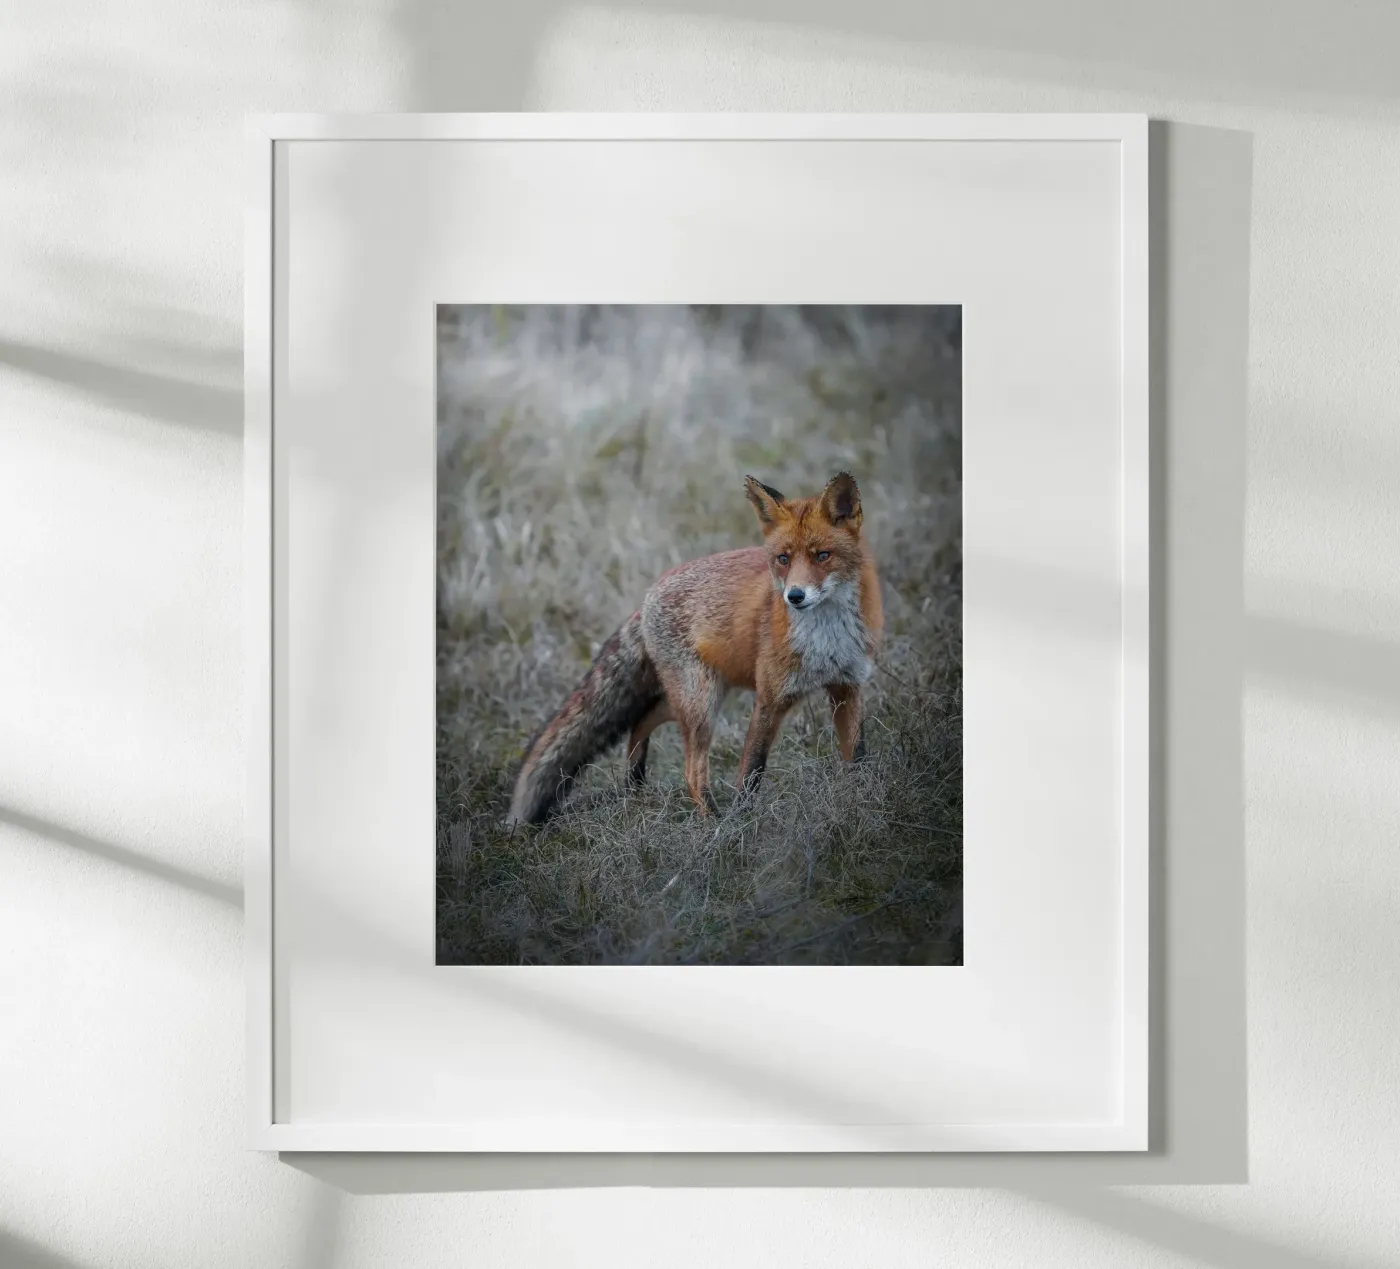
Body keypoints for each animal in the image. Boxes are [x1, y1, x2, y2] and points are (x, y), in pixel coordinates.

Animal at [505, 471, 883, 827]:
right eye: (783, 559)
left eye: (823, 556)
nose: (795, 596)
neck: (825, 638)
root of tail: (648, 595)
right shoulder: (770, 698)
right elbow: (751, 773)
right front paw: (739, 826)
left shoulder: (847, 687)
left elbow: (858, 757)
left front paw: (860, 805)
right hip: (701, 703)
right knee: (690, 771)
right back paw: (710, 822)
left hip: (697, 696)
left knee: (641, 720)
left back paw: (635, 783)